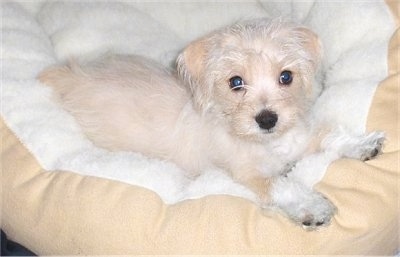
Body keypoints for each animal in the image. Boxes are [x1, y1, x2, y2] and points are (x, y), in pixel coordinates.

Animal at [38, 19, 384, 229]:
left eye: (286, 77)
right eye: (236, 82)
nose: (267, 119)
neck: (268, 143)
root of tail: (72, 75)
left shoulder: (299, 134)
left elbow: (331, 135)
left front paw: (362, 143)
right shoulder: (248, 174)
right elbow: (283, 184)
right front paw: (312, 205)